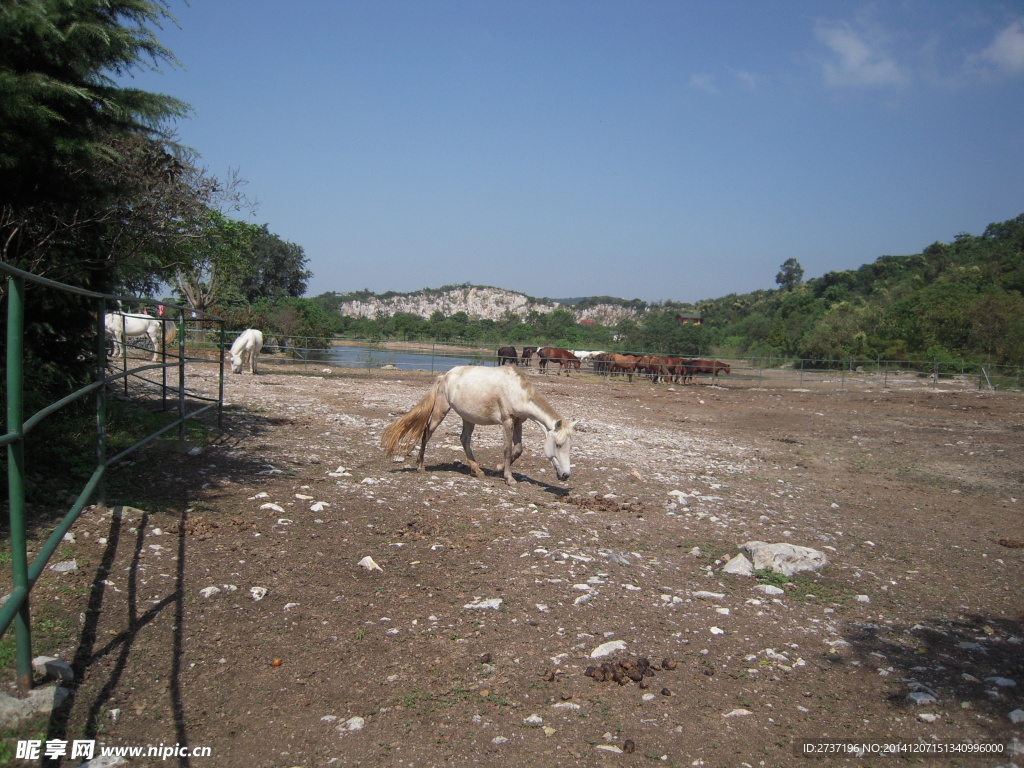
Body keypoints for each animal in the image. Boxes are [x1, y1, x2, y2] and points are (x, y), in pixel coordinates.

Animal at [382, 366, 577, 487]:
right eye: (558, 444)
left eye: (569, 446)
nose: (566, 475)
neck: (515, 390)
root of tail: (444, 376)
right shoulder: (507, 421)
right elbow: (507, 449)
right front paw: (509, 478)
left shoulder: (518, 422)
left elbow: (518, 449)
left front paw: (498, 469)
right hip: (440, 411)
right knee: (426, 434)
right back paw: (420, 466)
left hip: (468, 417)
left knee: (464, 439)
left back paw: (477, 470)